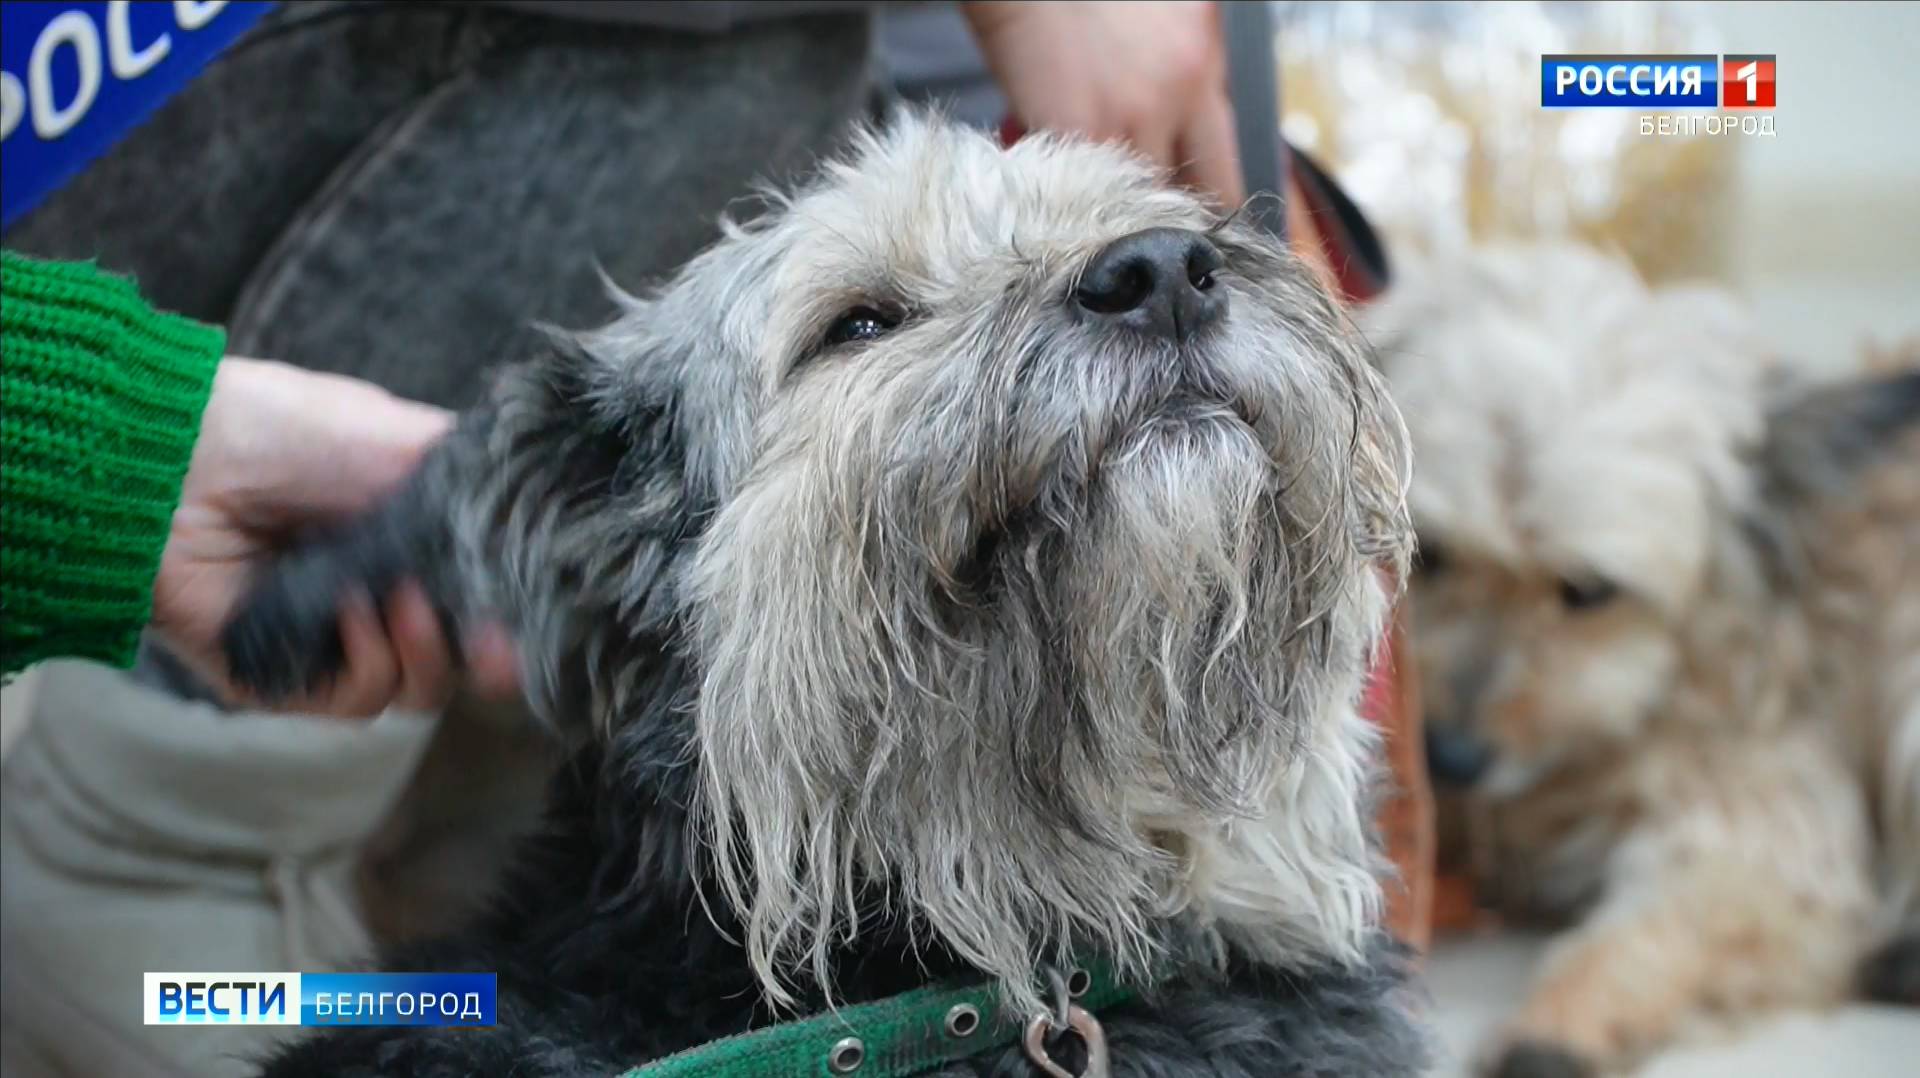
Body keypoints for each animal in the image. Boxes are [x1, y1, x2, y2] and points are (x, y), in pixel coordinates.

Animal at [1367, 239, 1920, 1068]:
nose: (1450, 758)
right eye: (1431, 553)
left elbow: (1655, 933)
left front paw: (1557, 1029)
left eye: (1588, 589)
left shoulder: (1760, 835)